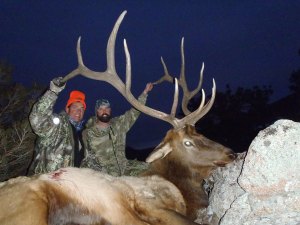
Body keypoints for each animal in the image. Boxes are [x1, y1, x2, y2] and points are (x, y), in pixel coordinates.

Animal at [0, 9, 236, 224]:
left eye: (200, 133)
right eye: (187, 142)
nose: (231, 153)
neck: (183, 192)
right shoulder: (149, 203)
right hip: (30, 208)